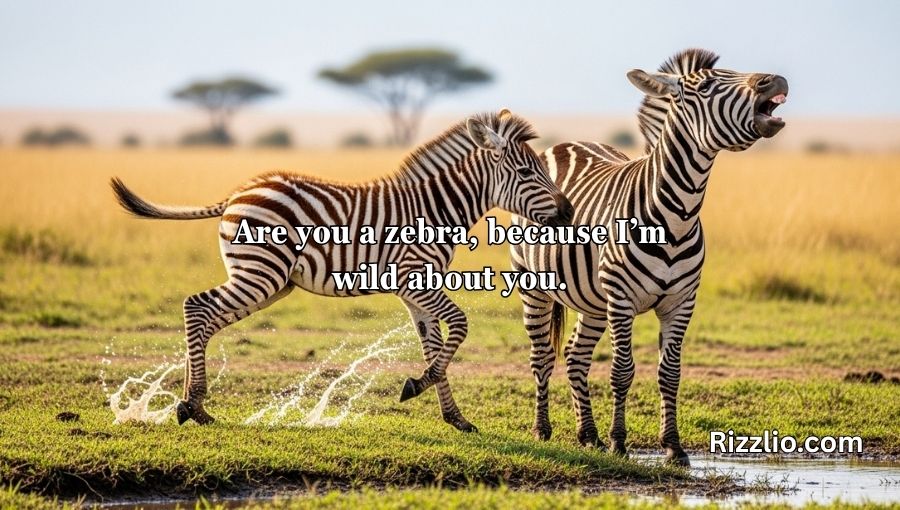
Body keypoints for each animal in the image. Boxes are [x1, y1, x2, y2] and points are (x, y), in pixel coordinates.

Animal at [111, 110, 574, 430]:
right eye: (526, 171)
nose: (568, 213)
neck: (436, 209)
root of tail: (237, 193)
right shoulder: (412, 279)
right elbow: (459, 326)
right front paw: (418, 385)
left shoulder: (415, 290)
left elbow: (433, 344)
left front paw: (453, 416)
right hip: (261, 274)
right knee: (196, 307)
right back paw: (191, 404)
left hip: (271, 281)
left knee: (204, 316)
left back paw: (195, 407)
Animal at [510, 49, 788, 466]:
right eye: (705, 85)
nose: (775, 80)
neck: (676, 217)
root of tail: (564, 144)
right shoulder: (623, 299)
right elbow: (623, 370)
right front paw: (619, 442)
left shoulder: (681, 302)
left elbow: (670, 373)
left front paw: (673, 447)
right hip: (535, 285)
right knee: (542, 355)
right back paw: (543, 430)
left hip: (594, 301)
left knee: (575, 355)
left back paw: (587, 434)